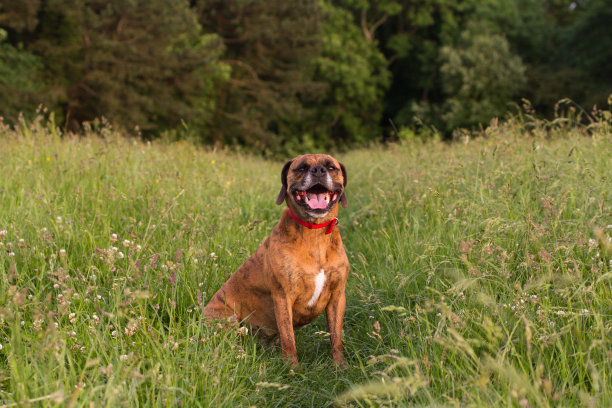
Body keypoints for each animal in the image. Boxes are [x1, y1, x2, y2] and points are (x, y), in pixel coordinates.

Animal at [203, 154, 350, 366]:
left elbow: (336, 338)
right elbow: (288, 340)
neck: (314, 233)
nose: (318, 170)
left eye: (331, 167)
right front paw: (292, 369)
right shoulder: (282, 297)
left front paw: (341, 366)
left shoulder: (337, 297)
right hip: (226, 318)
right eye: (301, 168)